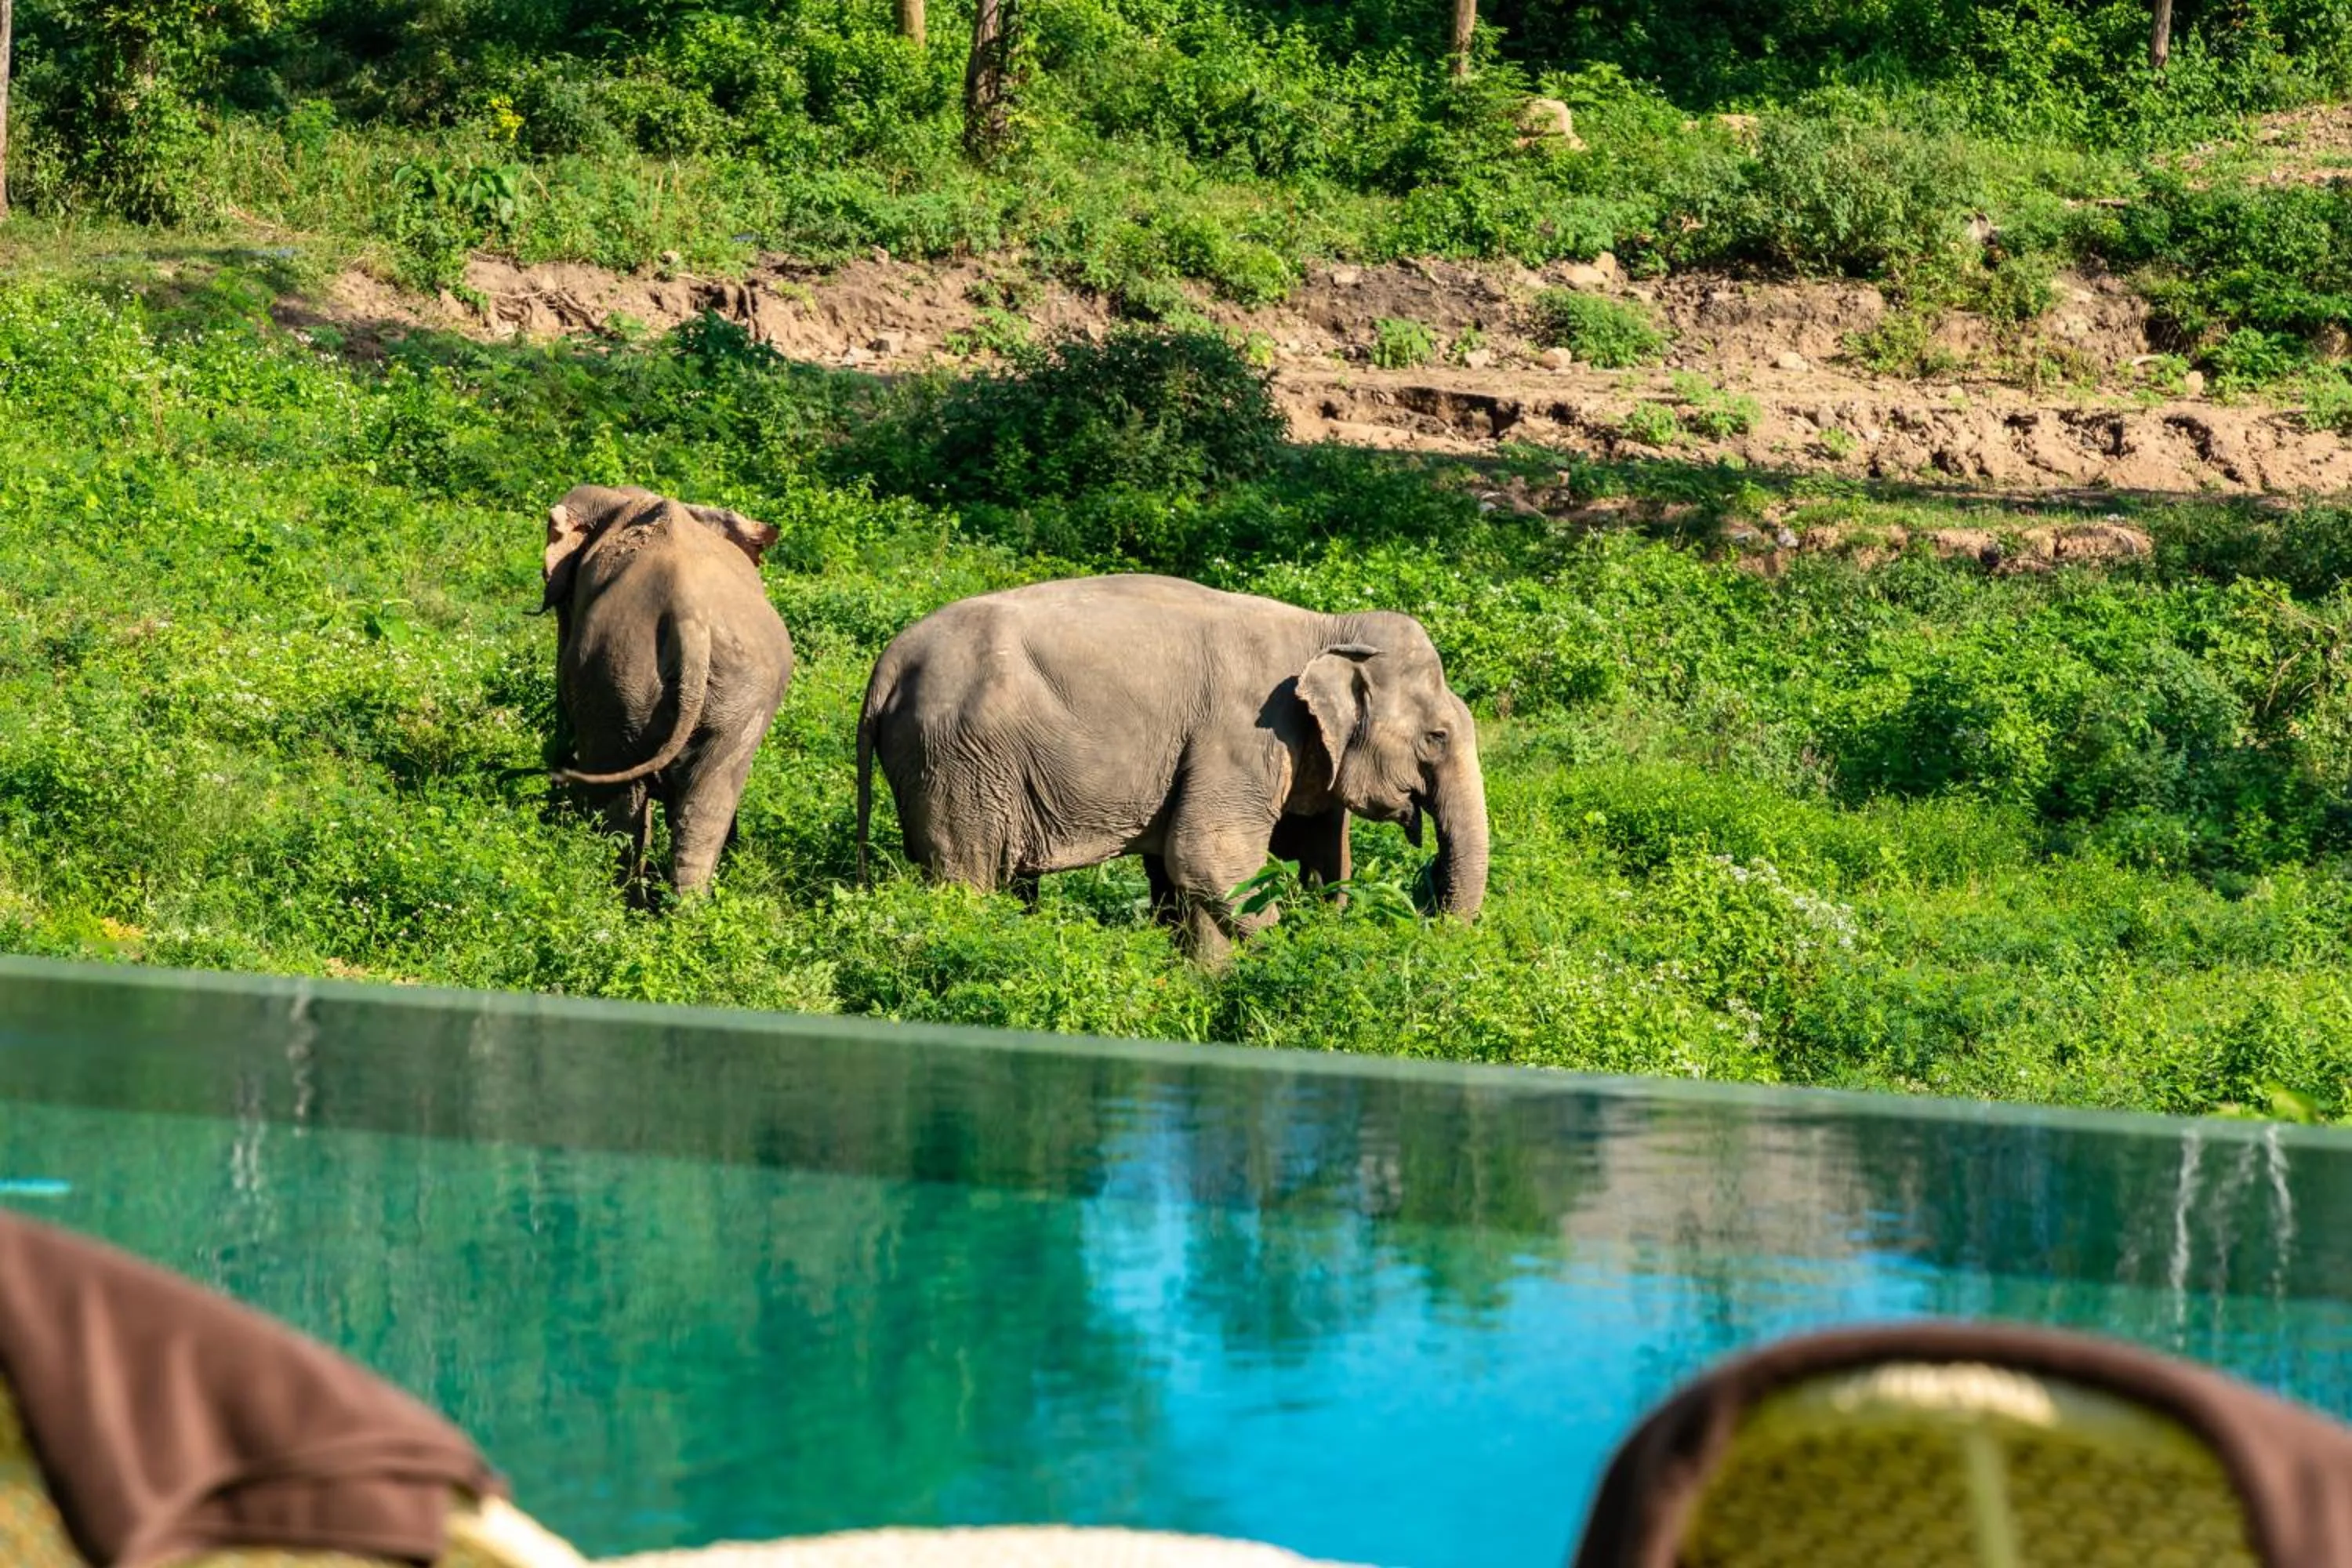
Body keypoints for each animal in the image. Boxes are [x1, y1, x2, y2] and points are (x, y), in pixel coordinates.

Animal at [540, 484, 794, 896]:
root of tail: (691, 621)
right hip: (740, 692)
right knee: (708, 803)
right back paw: (686, 907)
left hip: (615, 673)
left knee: (622, 800)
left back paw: (624, 900)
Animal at [855, 574, 1488, 964]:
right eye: (1437, 737)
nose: (1427, 897)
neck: (1327, 625)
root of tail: (888, 664)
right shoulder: (1244, 734)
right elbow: (1206, 856)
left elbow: (1298, 855)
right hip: (958, 760)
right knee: (969, 877)